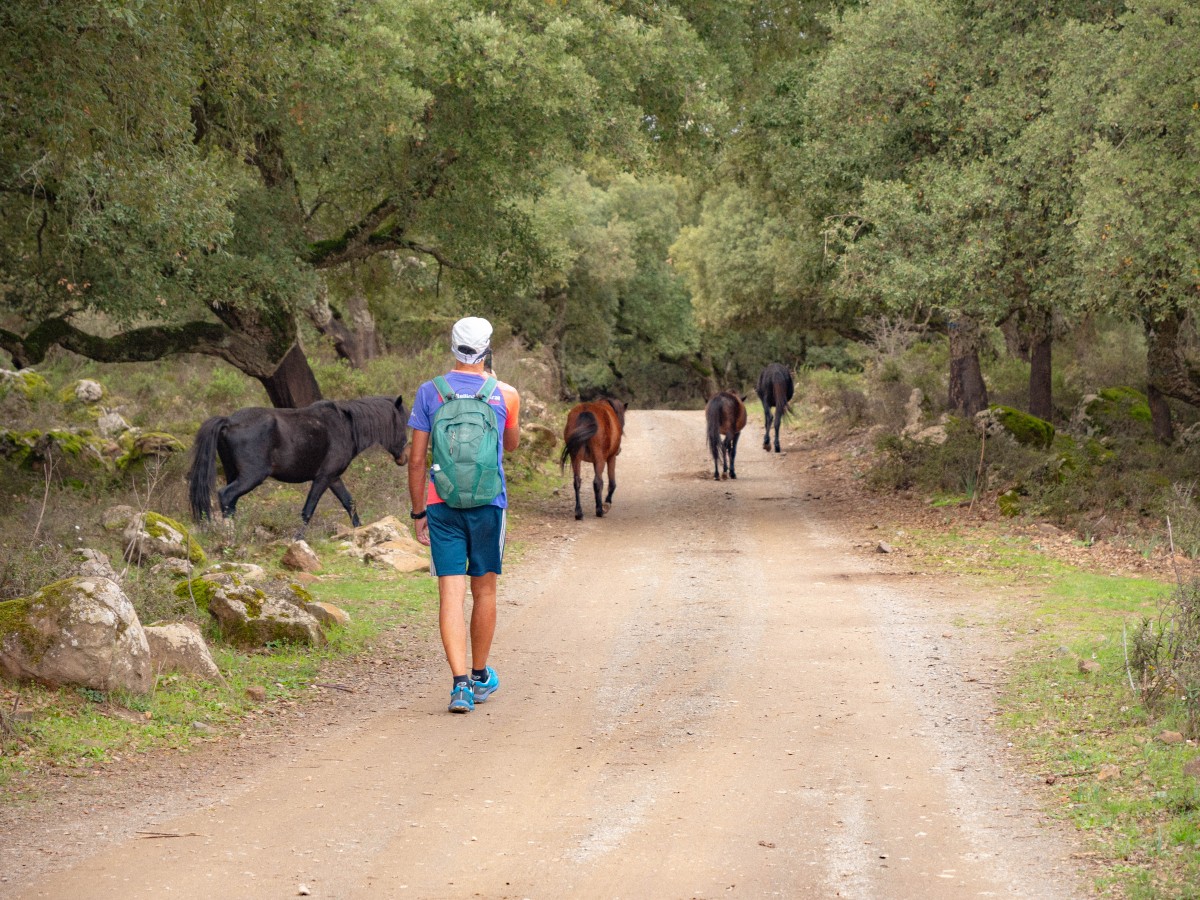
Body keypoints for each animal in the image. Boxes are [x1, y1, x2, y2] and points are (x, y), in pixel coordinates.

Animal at [187, 396, 410, 535]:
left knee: (231, 503)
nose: (404, 458)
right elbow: (308, 509)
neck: (346, 427)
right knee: (226, 495)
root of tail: (229, 421)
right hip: (251, 476)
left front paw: (360, 529)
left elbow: (349, 502)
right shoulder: (323, 477)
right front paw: (298, 539)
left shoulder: (334, 478)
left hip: (233, 473)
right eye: (404, 422)